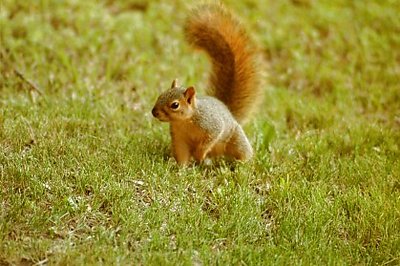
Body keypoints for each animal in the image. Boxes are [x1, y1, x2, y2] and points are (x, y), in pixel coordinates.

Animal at [152, 3, 260, 166]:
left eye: (175, 105)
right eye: (160, 96)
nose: (154, 112)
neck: (186, 121)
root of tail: (228, 110)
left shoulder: (212, 125)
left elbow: (209, 139)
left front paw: (199, 154)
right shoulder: (179, 138)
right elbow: (182, 153)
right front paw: (181, 168)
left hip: (236, 140)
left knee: (242, 152)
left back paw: (239, 164)